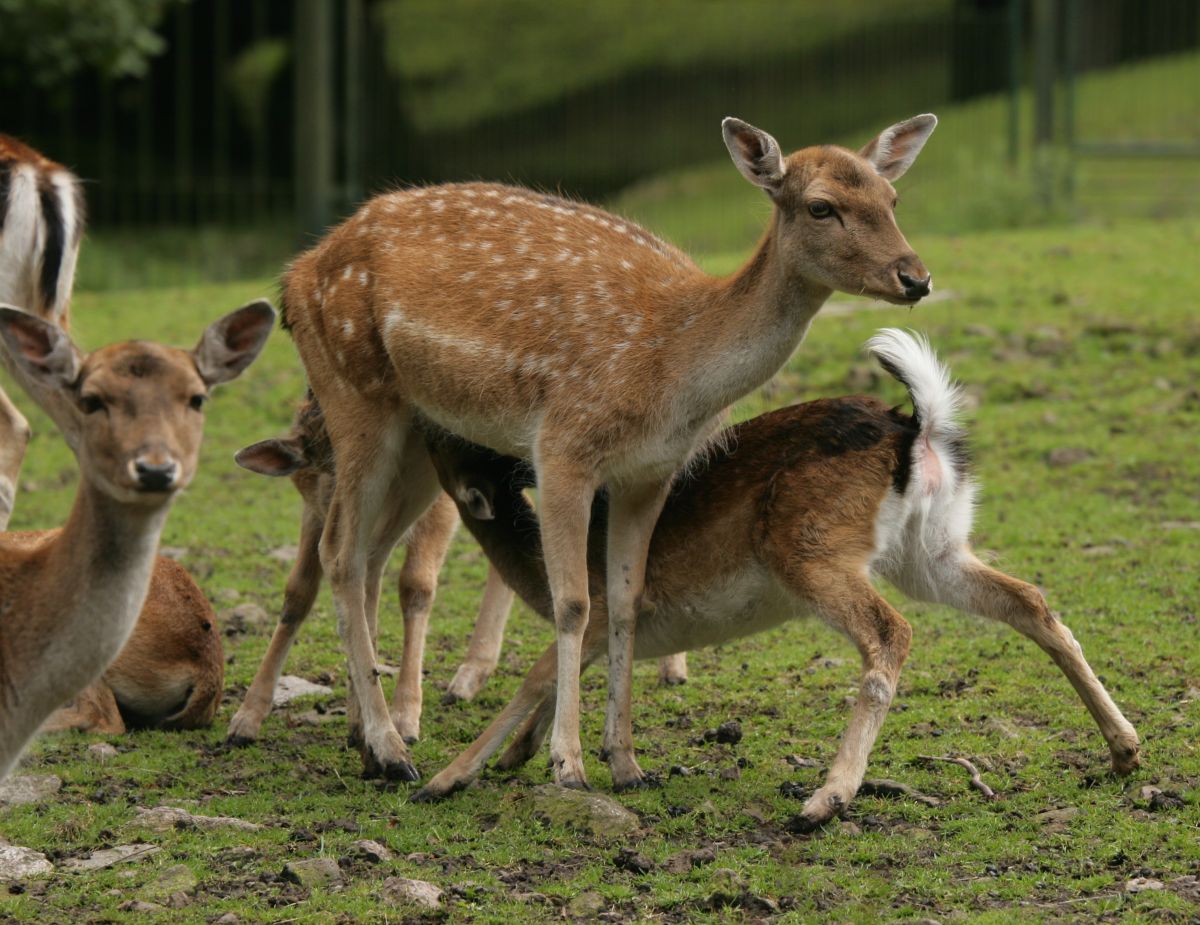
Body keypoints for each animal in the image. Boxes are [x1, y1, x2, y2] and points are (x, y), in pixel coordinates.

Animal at [228, 398, 691, 753]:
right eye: (317, 468)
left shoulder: (439, 500)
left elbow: (414, 585)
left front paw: (405, 717)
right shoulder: (315, 510)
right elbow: (300, 592)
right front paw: (248, 717)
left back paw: (673, 665)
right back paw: (470, 673)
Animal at [278, 112, 936, 787]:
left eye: (891, 199)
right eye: (821, 207)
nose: (915, 278)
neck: (673, 372)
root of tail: (295, 276)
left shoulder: (649, 473)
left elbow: (625, 599)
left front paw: (625, 760)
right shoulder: (564, 446)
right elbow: (573, 602)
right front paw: (567, 763)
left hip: (416, 431)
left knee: (372, 552)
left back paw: (364, 735)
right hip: (353, 392)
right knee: (340, 551)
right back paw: (390, 749)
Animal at [415, 326, 1142, 830]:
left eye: (450, 438)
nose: (418, 418)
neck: (534, 569)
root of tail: (917, 427)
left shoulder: (596, 616)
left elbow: (534, 676)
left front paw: (444, 779)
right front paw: (513, 757)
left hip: (809, 549)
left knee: (892, 632)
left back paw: (824, 799)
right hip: (932, 551)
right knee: (1030, 598)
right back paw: (1125, 749)